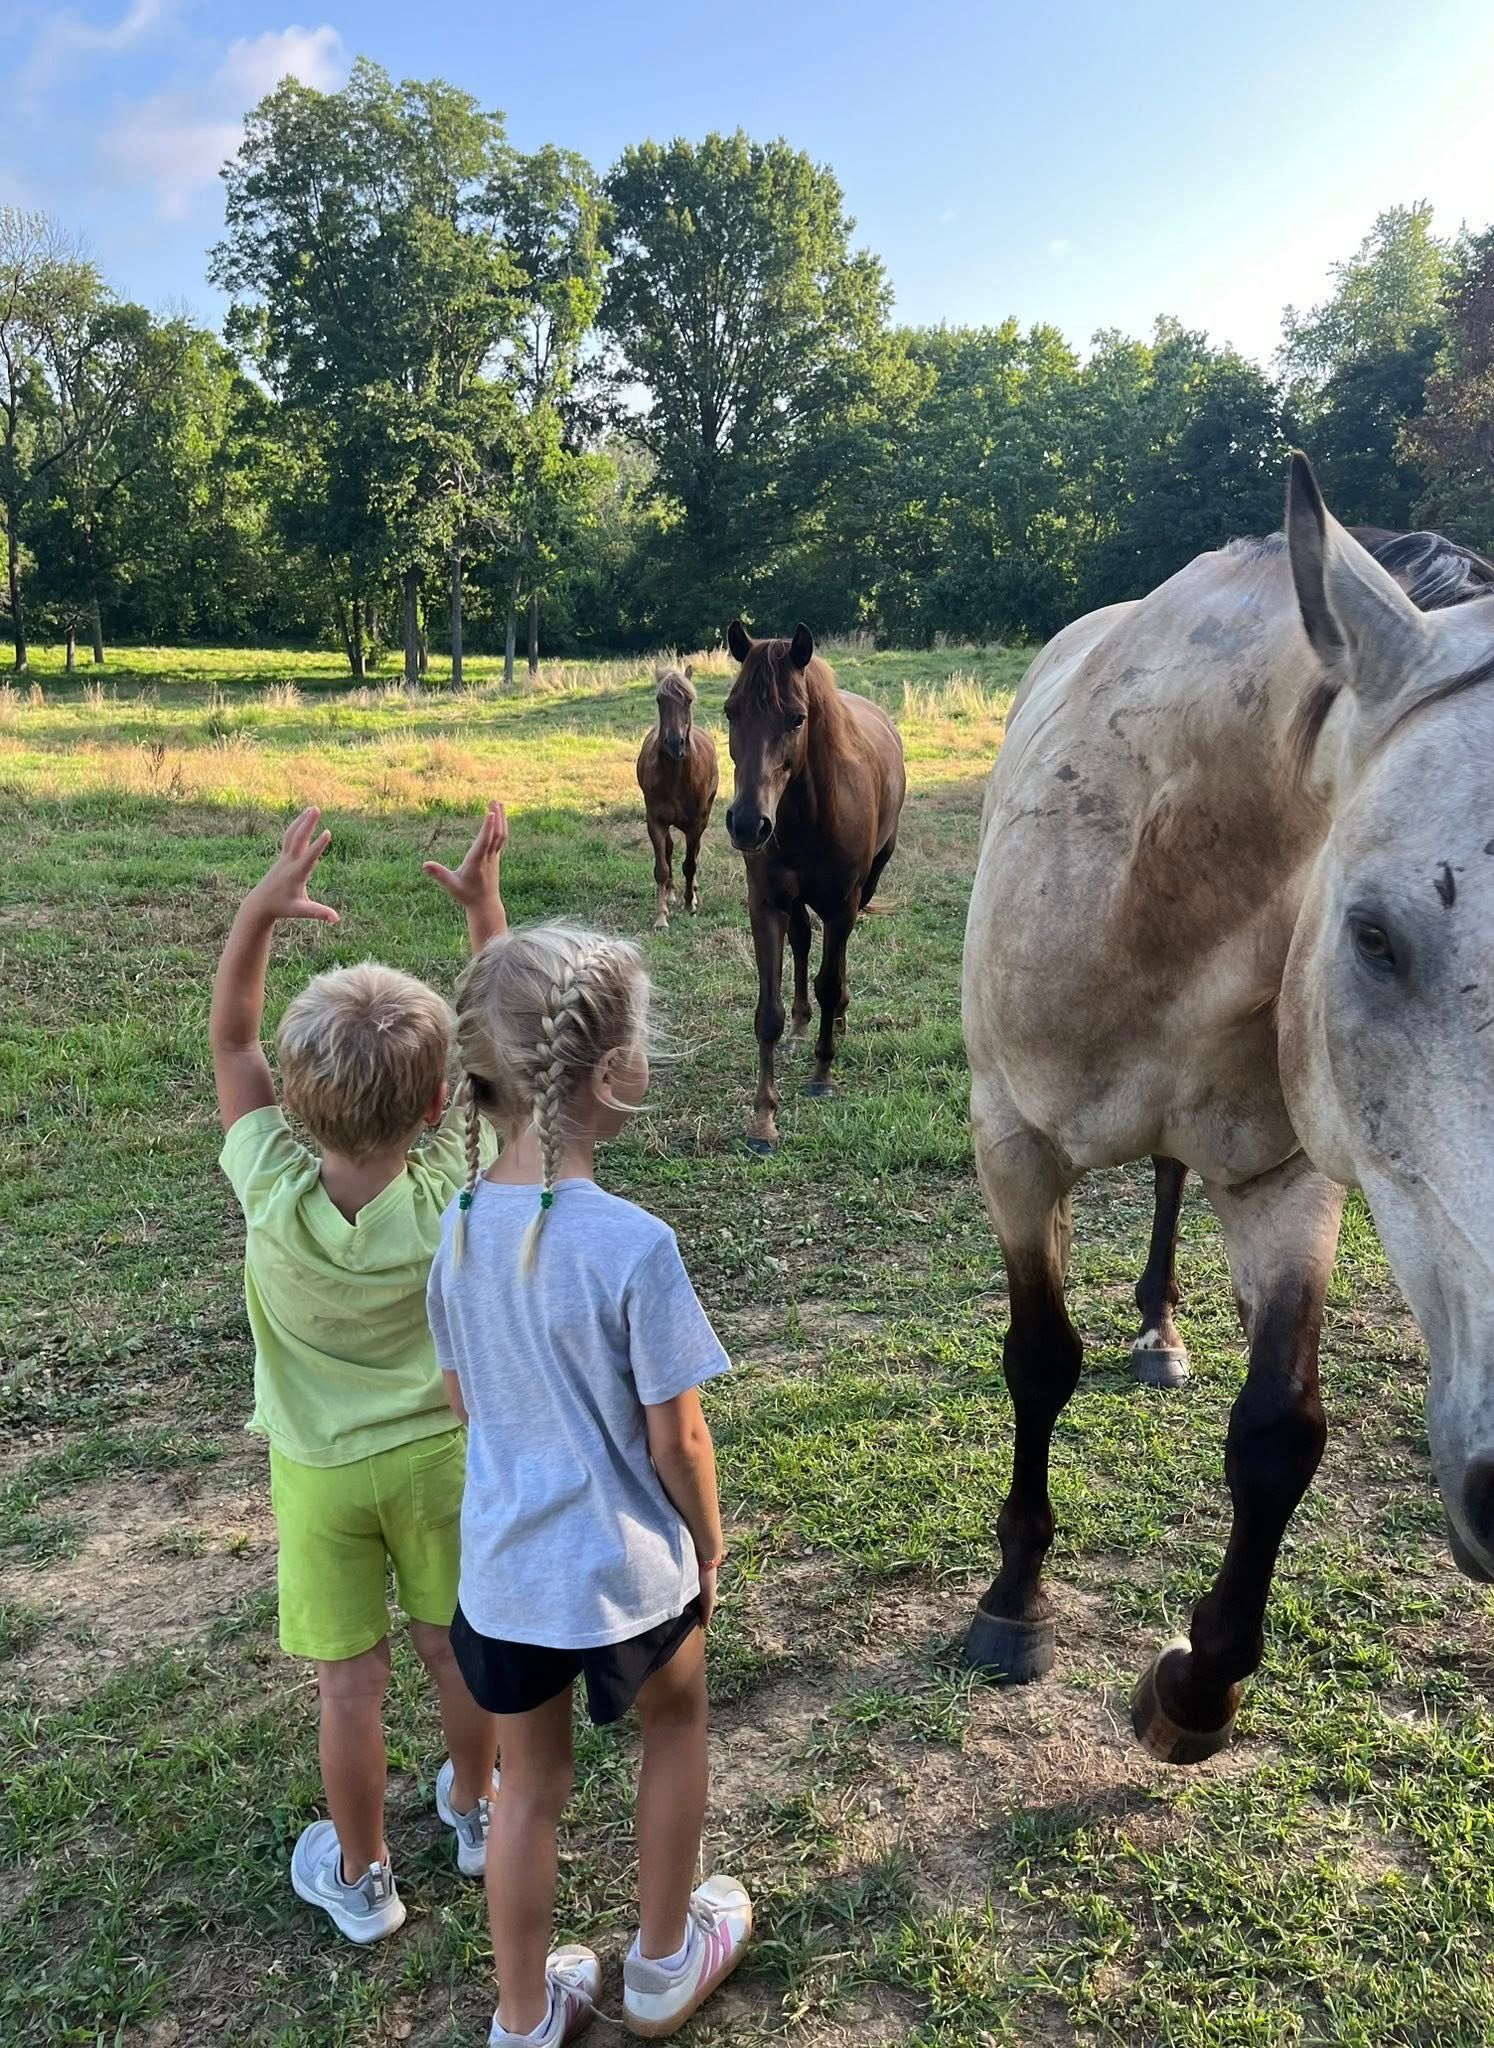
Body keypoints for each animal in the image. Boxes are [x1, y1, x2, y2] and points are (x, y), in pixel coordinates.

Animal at [635, 663, 718, 932]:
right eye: (660, 700)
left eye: (688, 700)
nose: (674, 743)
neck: (675, 776)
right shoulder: (655, 821)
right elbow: (661, 867)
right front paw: (661, 916)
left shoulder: (695, 824)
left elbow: (690, 863)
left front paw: (690, 903)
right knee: (670, 850)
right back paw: (671, 893)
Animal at [723, 620, 906, 1152]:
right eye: (731, 711)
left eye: (797, 719)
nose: (748, 824)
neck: (810, 811)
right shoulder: (766, 905)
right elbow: (768, 1012)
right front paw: (763, 1117)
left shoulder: (841, 905)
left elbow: (829, 980)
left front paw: (823, 1073)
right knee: (803, 942)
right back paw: (803, 1027)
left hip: (865, 886)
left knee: (835, 960)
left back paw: (838, 1019)